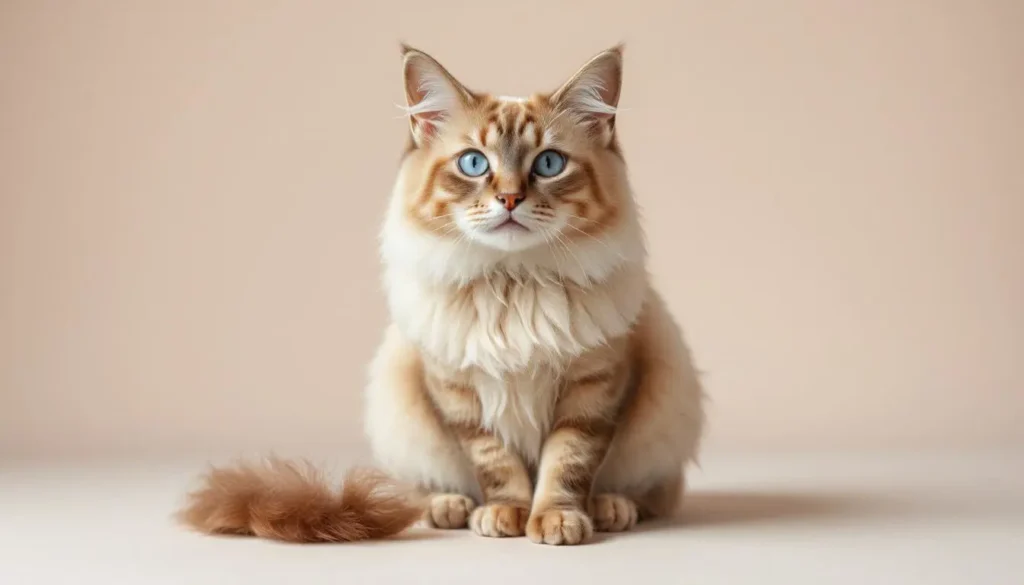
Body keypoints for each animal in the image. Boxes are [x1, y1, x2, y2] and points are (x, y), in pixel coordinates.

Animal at [178, 43, 704, 549]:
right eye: (474, 163)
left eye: (548, 164)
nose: (510, 199)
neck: (514, 281)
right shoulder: (458, 392)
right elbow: (498, 464)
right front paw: (507, 514)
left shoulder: (592, 386)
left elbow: (566, 463)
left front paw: (556, 518)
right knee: (420, 490)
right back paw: (448, 507)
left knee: (652, 493)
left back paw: (611, 508)